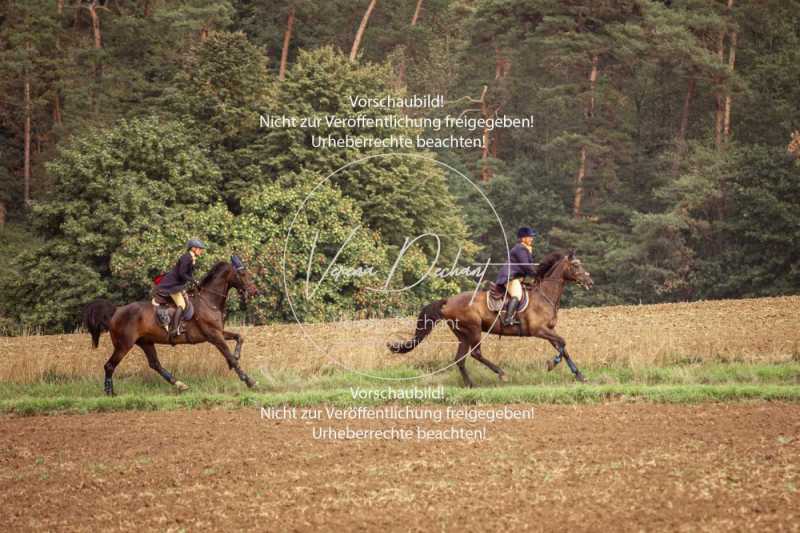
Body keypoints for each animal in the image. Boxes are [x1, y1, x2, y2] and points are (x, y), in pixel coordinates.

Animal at [81, 258, 258, 394]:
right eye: (242, 274)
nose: (254, 291)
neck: (209, 301)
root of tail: (116, 311)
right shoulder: (213, 335)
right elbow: (229, 355)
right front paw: (249, 380)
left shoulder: (219, 332)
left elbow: (239, 338)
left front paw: (236, 357)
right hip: (124, 345)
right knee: (109, 366)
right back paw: (110, 393)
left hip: (145, 342)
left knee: (155, 364)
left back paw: (180, 384)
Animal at [388, 250, 592, 386]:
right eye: (576, 265)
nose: (590, 281)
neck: (545, 295)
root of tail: (448, 301)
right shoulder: (539, 330)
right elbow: (563, 343)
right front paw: (551, 364)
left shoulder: (549, 330)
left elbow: (563, 348)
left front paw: (579, 375)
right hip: (474, 330)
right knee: (475, 353)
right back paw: (501, 373)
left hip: (462, 334)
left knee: (460, 359)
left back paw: (470, 384)